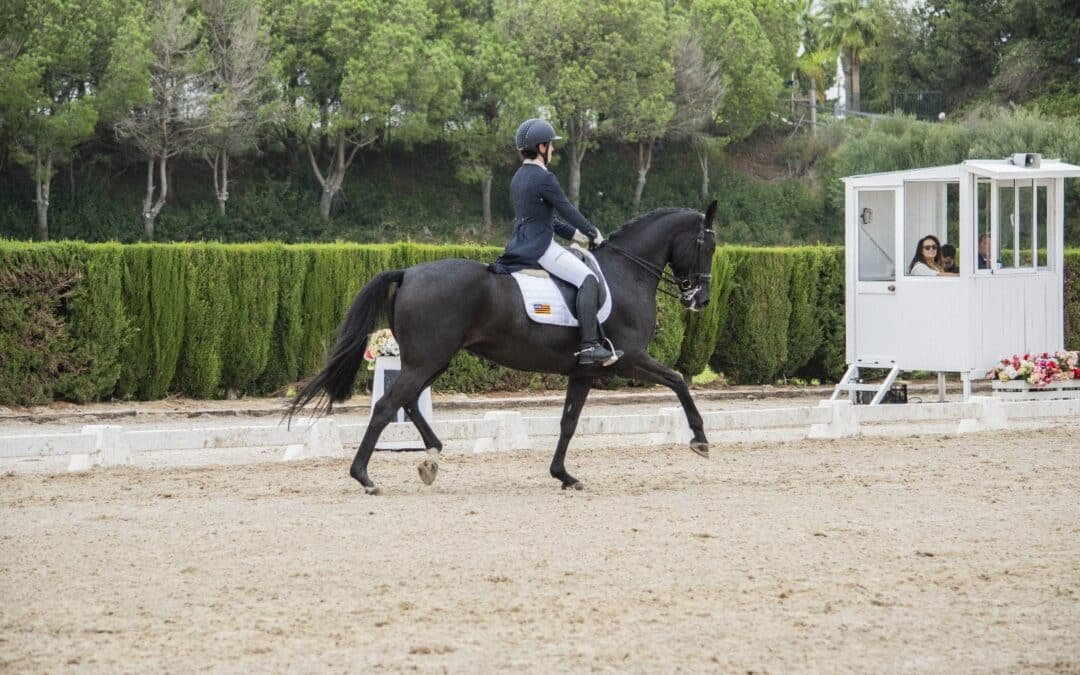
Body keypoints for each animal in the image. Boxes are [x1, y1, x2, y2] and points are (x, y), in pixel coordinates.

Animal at [289, 201, 718, 494]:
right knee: (385, 407)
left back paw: (432, 456)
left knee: (406, 403)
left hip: (431, 360)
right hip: (426, 359)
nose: (699, 300)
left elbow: (568, 424)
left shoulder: (583, 371)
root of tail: (408, 271)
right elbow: (678, 381)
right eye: (708, 246)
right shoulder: (628, 359)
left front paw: (563, 475)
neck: (626, 273)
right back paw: (365, 477)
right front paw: (700, 439)